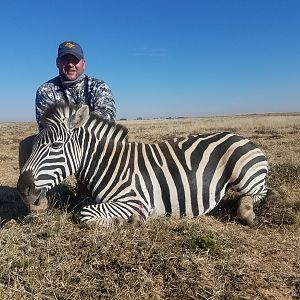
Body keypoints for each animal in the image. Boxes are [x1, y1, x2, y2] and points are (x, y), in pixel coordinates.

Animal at [17, 103, 270, 227]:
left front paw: (128, 221)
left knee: (261, 193)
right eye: (35, 144)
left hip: (244, 176)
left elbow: (85, 214)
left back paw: (246, 211)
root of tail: (243, 138)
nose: (22, 188)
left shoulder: (135, 200)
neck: (109, 164)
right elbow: (85, 207)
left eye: (56, 146)